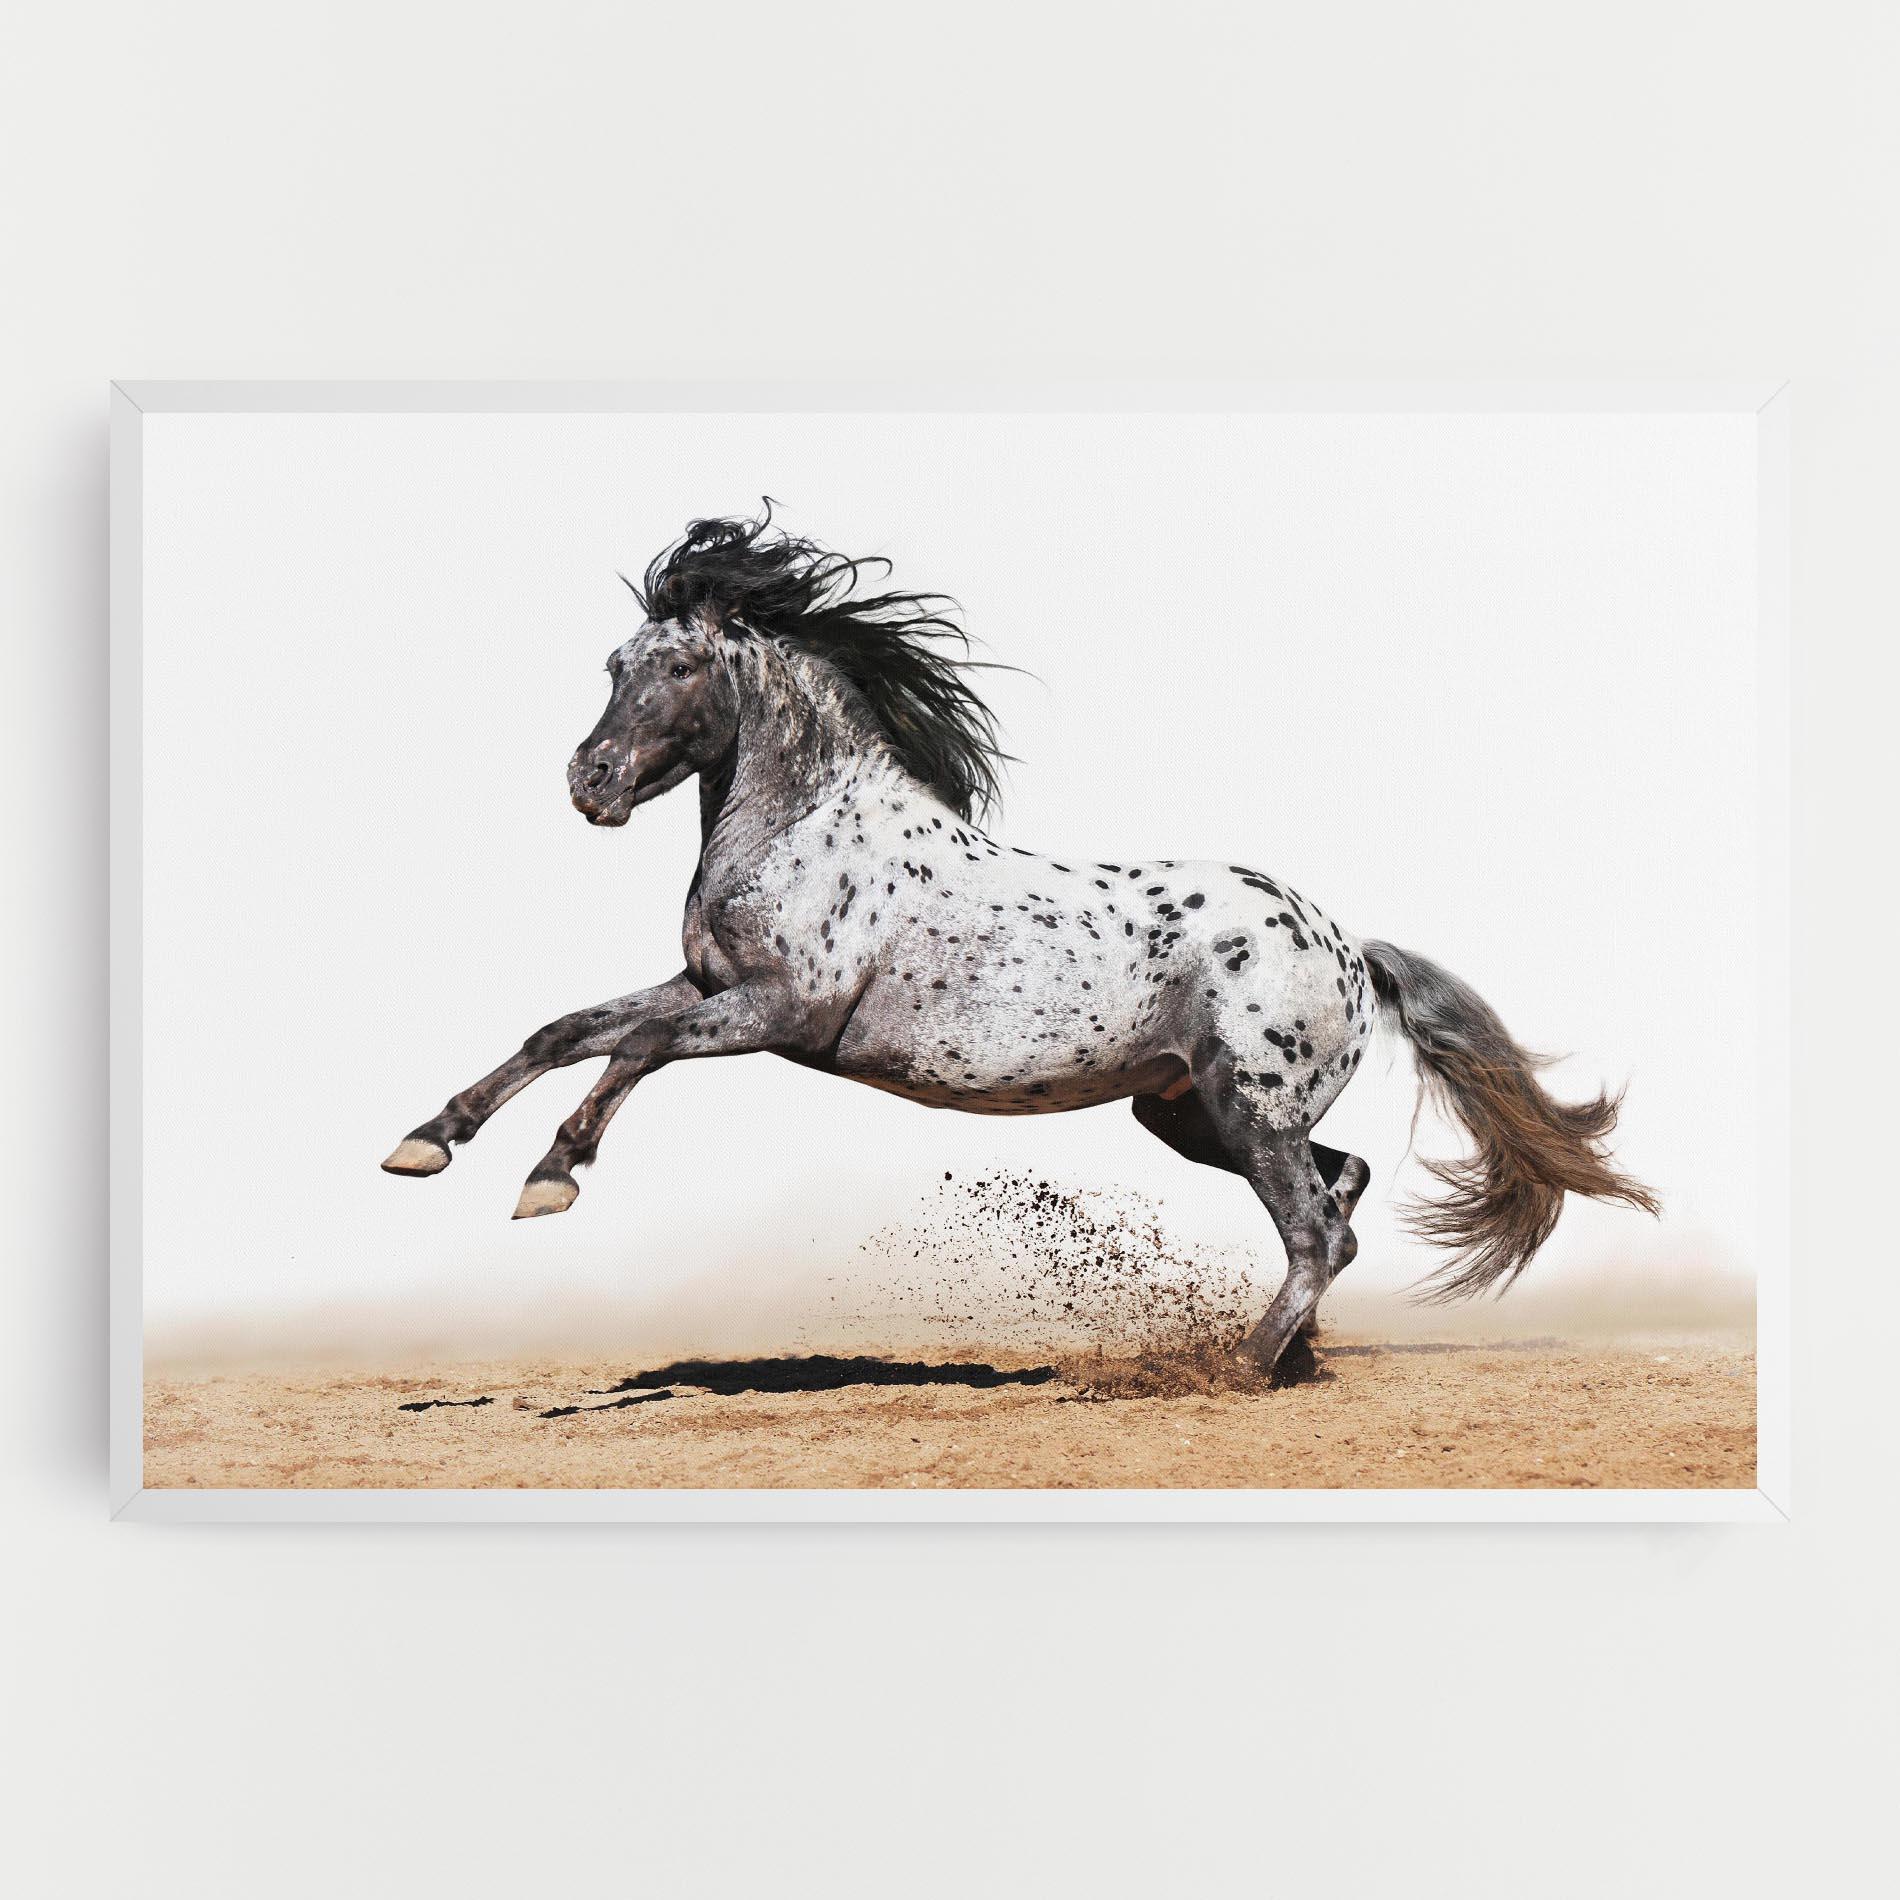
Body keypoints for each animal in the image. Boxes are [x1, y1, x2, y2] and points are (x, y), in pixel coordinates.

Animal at [382, 507, 1657, 1379]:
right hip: (1186, 1111)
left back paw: (1236, 1369)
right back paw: (1292, 1354)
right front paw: (426, 1143)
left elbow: (634, 1051)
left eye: (683, 665)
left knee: (1312, 1229)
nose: (589, 784)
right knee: (1337, 1194)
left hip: (1244, 1110)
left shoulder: (774, 1015)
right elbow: (566, 1028)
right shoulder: (706, 983)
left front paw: (549, 1180)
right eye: (613, 667)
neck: (807, 825)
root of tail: (1348, 945)